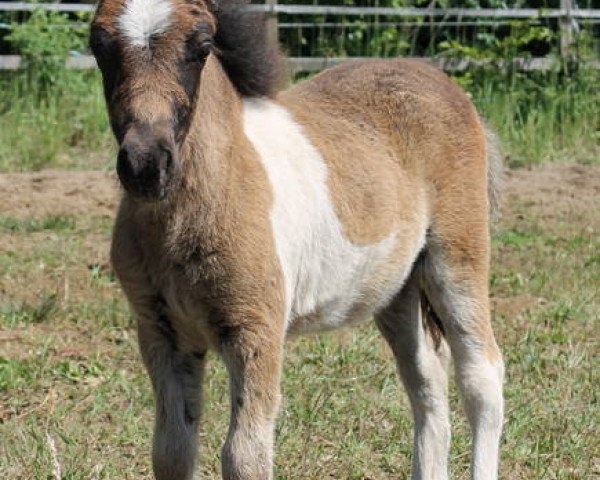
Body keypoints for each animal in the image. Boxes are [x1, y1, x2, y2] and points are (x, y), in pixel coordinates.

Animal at [91, 1, 504, 478]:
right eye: (99, 46)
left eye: (203, 45)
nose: (146, 165)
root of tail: (443, 82)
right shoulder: (162, 333)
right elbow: (171, 451)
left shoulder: (257, 331)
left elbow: (244, 457)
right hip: (396, 290)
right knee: (427, 383)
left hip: (456, 258)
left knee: (482, 378)